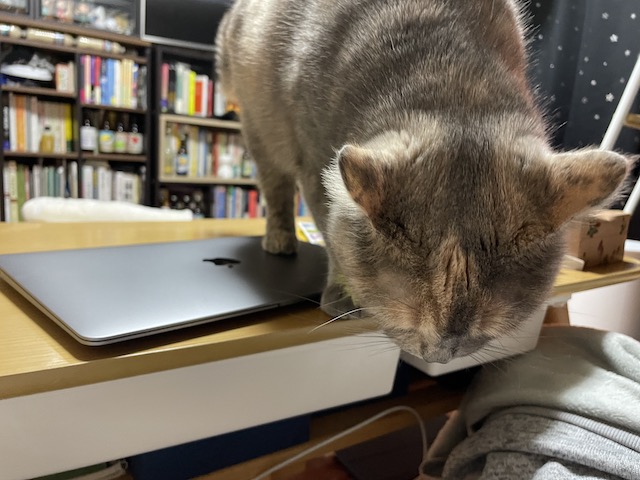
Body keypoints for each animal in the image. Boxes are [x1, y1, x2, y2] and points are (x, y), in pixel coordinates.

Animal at [216, 0, 630, 363]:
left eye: (484, 330)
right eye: (410, 323)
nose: (440, 357)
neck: (455, 84)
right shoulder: (312, 157)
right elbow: (330, 235)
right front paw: (343, 294)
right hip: (261, 126)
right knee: (276, 189)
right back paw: (280, 240)